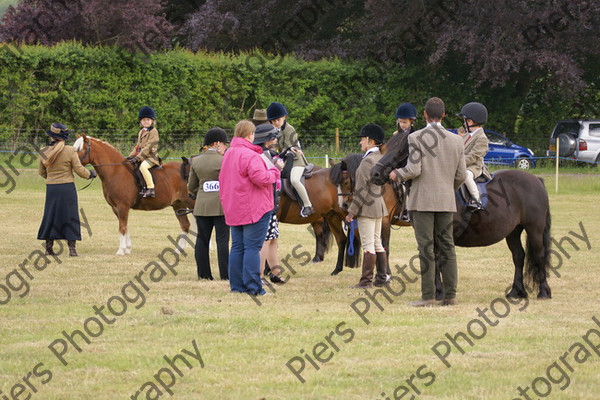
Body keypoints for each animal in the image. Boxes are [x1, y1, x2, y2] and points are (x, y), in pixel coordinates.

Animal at [370, 130, 552, 298]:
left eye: (401, 150)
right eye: (385, 148)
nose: (375, 174)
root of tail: (536, 180)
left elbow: (439, 259)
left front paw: (440, 292)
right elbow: (433, 259)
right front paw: (437, 291)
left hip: (534, 229)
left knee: (539, 256)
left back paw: (543, 292)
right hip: (513, 231)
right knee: (518, 256)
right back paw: (516, 292)